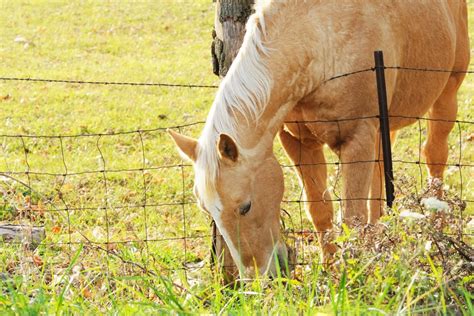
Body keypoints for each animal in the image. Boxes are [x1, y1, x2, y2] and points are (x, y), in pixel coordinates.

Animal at [168, 0, 468, 276]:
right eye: (207, 210)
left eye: (245, 206)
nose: (259, 277)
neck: (318, 37)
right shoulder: (300, 143)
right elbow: (320, 210)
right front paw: (333, 270)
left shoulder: (357, 138)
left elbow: (352, 216)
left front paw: (355, 276)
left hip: (447, 95)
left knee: (434, 157)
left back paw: (438, 226)